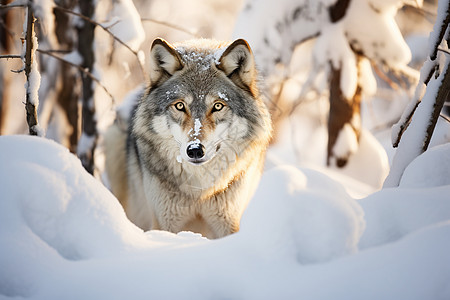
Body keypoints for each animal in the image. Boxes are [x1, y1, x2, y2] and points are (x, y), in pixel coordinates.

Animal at [104, 38, 272, 239]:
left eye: (218, 106)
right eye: (179, 106)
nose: (195, 150)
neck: (199, 190)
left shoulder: (228, 223)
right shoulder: (165, 222)